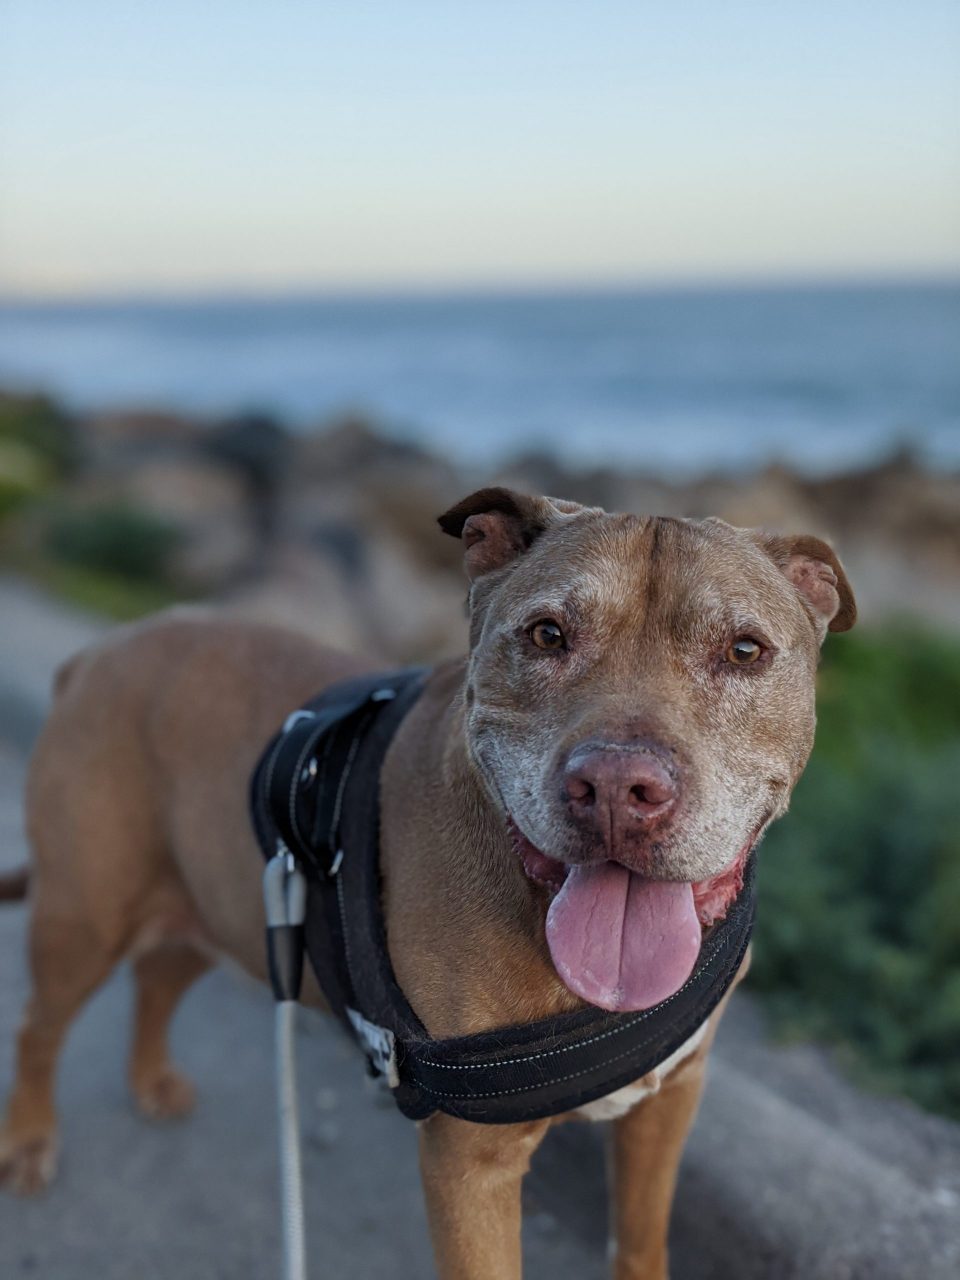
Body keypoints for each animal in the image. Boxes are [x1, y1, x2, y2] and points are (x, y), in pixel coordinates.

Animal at [0, 488, 855, 1278]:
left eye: (744, 651)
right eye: (547, 634)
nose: (617, 788)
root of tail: (101, 652)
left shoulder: (668, 1101)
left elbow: (641, 1244)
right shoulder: (470, 1168)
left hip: (226, 904)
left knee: (159, 974)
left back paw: (151, 1080)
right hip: (82, 919)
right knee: (41, 1024)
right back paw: (30, 1139)